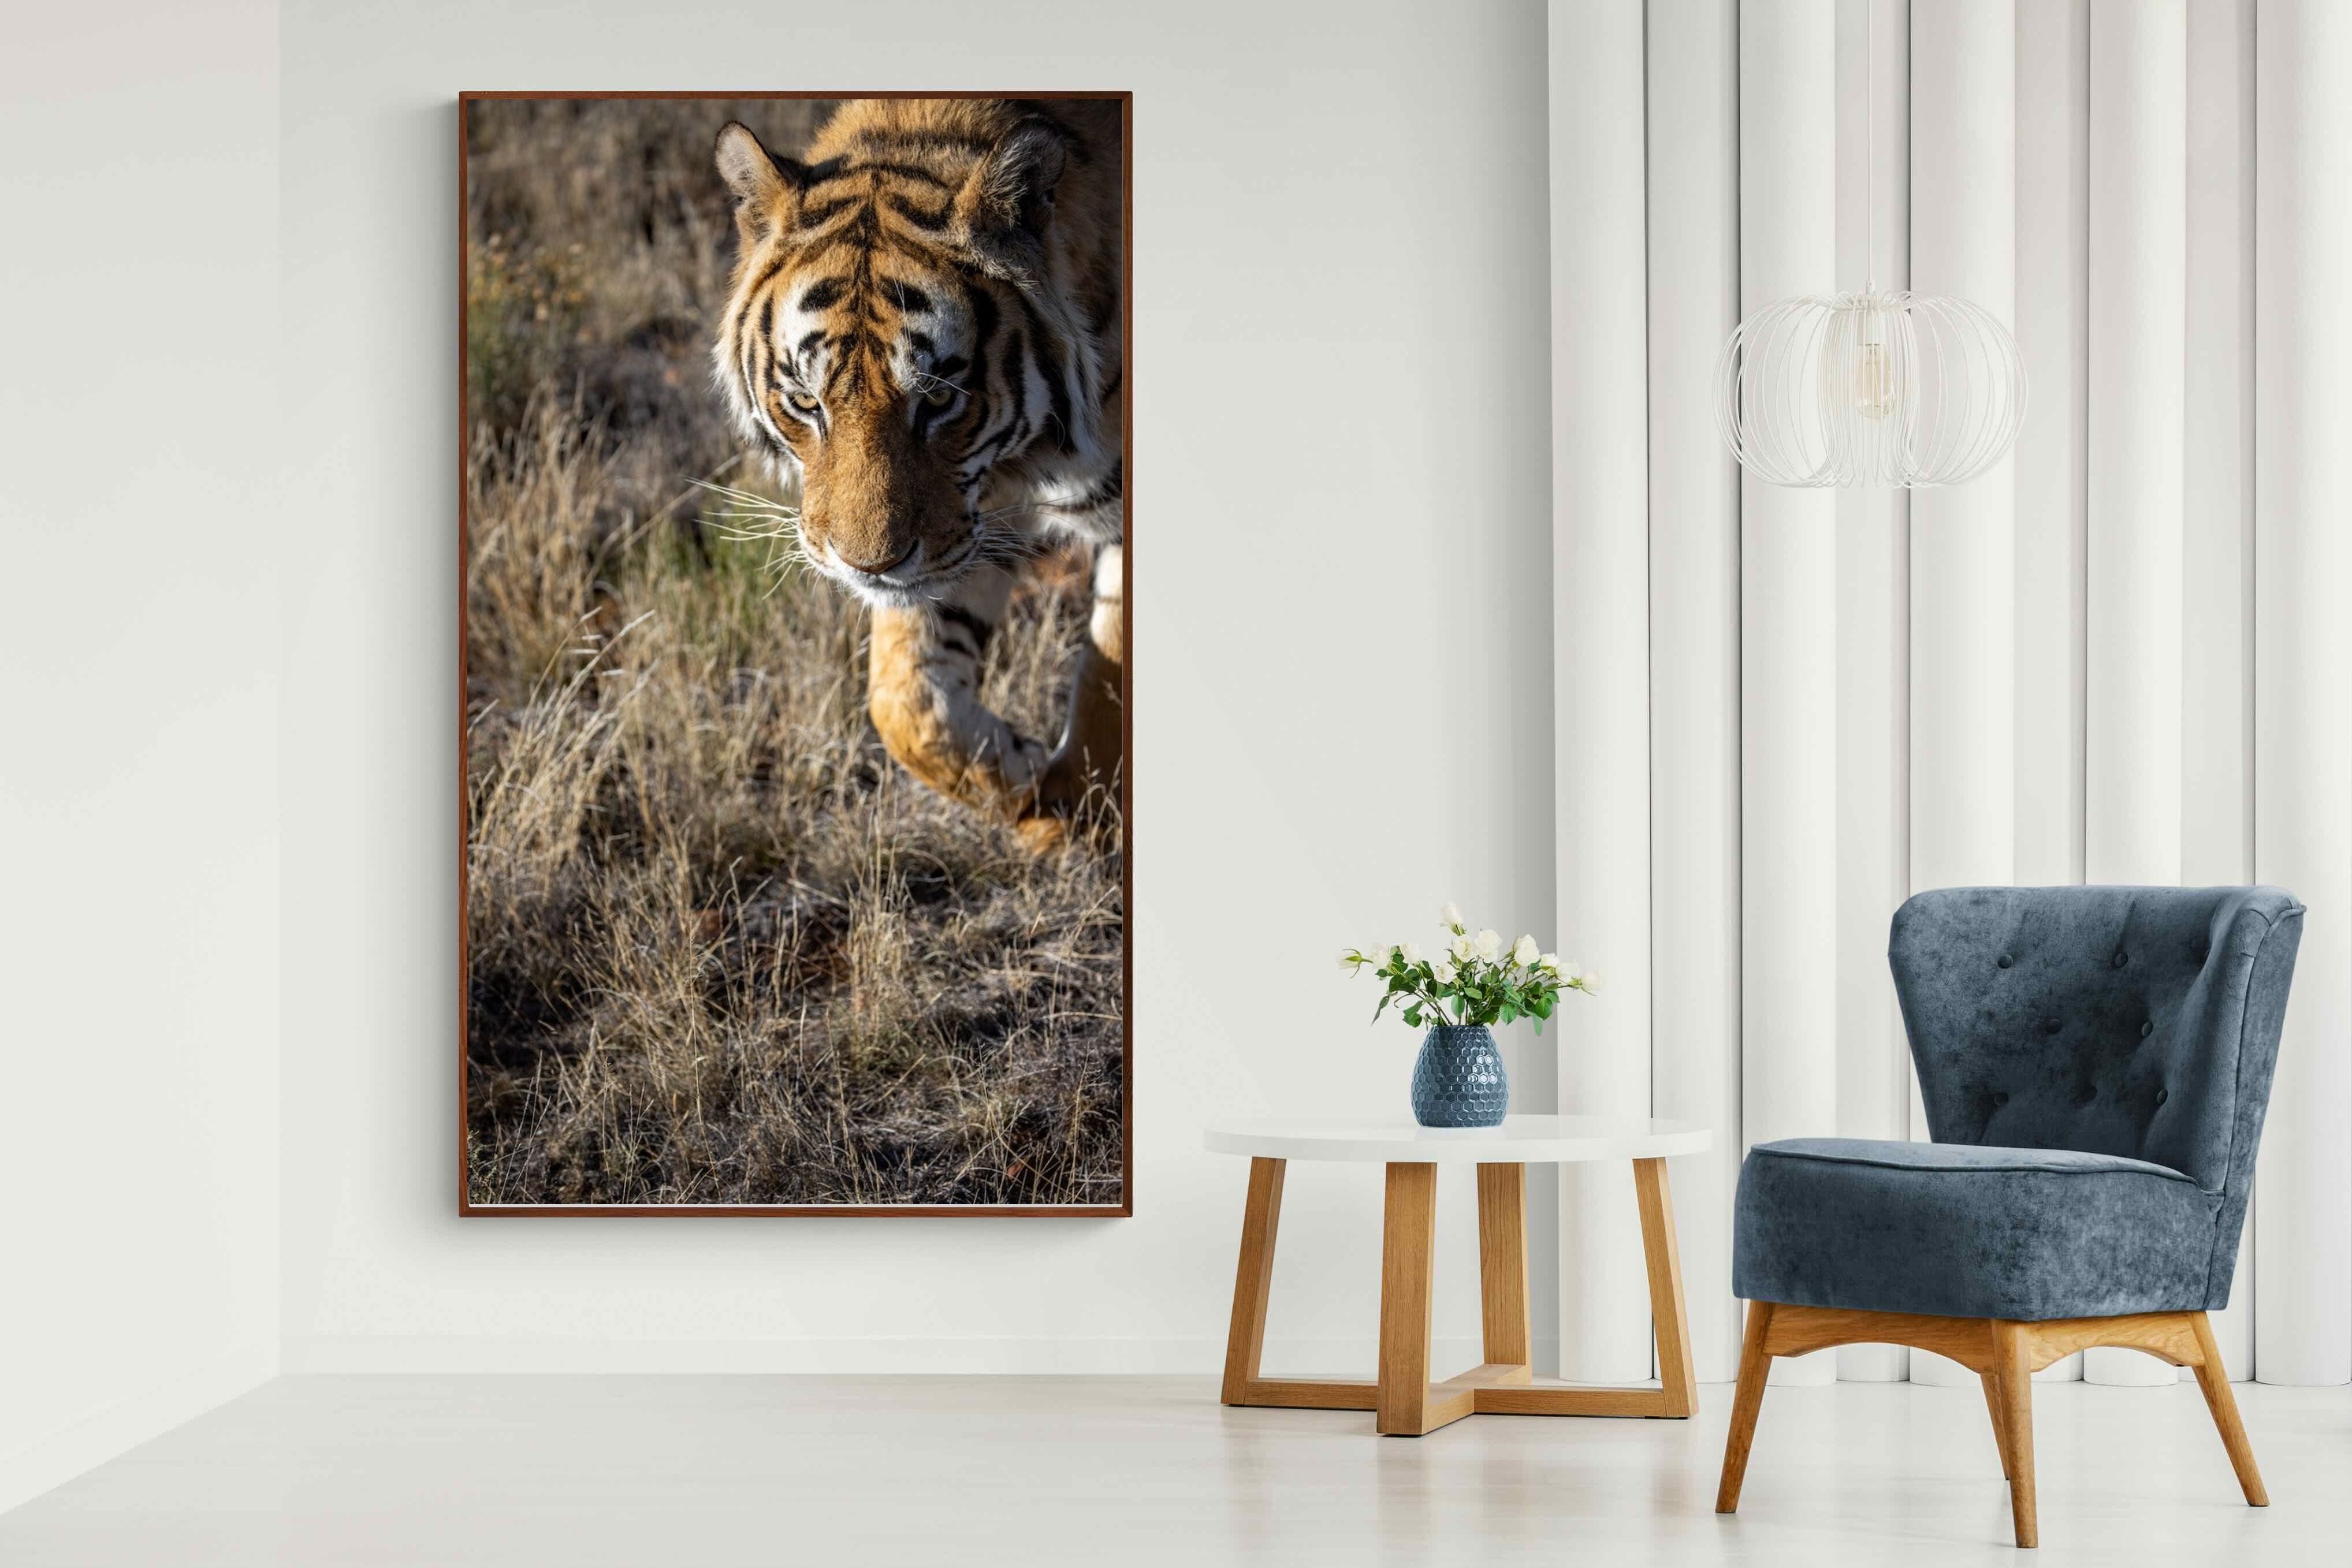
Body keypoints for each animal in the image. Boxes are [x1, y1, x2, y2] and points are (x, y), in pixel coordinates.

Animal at [711, 98, 1124, 849]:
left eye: (937, 399)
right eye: (807, 402)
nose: (867, 567)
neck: (1025, 460)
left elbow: (1109, 685)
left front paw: (1079, 815)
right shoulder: (966, 527)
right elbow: (903, 702)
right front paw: (1022, 778)